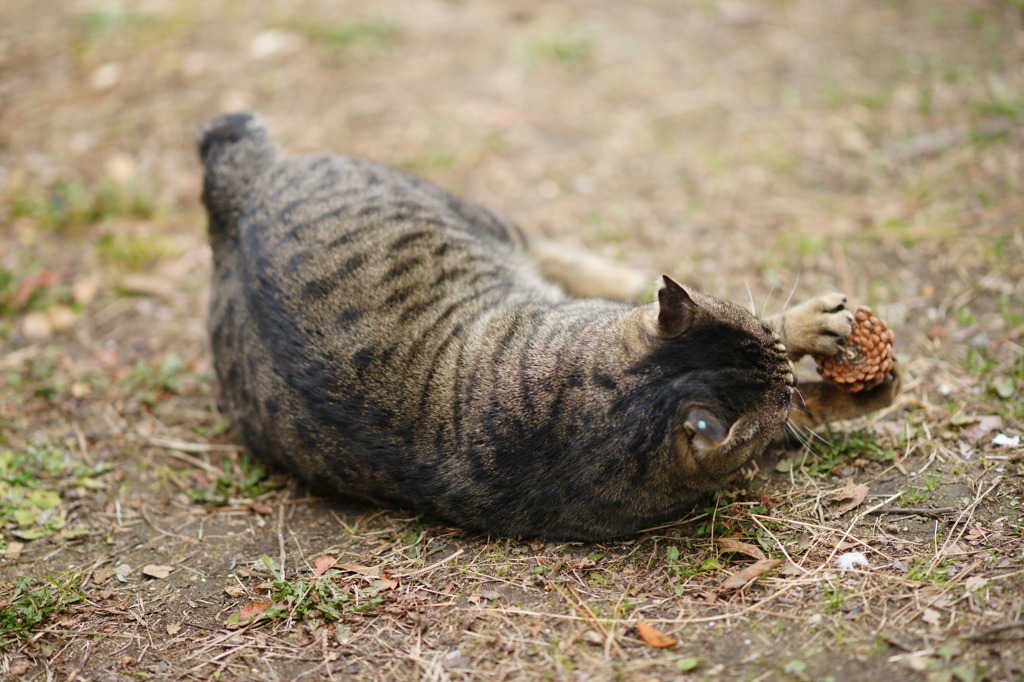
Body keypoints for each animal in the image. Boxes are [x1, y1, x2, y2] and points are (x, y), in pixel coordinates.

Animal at [197, 111, 897, 540]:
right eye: (776, 393)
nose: (790, 381)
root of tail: (239, 198)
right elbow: (804, 388)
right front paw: (824, 337)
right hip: (476, 215)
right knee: (553, 252)